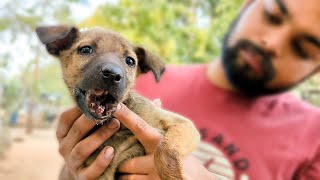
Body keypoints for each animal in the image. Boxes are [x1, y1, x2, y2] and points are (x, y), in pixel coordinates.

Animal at [35, 25, 200, 180]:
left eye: (130, 61)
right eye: (86, 49)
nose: (113, 74)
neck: (118, 124)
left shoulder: (182, 124)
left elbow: (164, 149)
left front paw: (173, 175)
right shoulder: (102, 172)